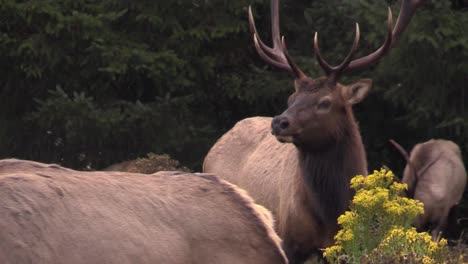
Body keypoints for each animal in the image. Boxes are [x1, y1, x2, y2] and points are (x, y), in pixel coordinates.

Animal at [203, 0, 426, 262]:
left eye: (325, 102)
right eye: (291, 98)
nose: (279, 122)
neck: (330, 213)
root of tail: (213, 148)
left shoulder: (341, 246)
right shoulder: (289, 240)